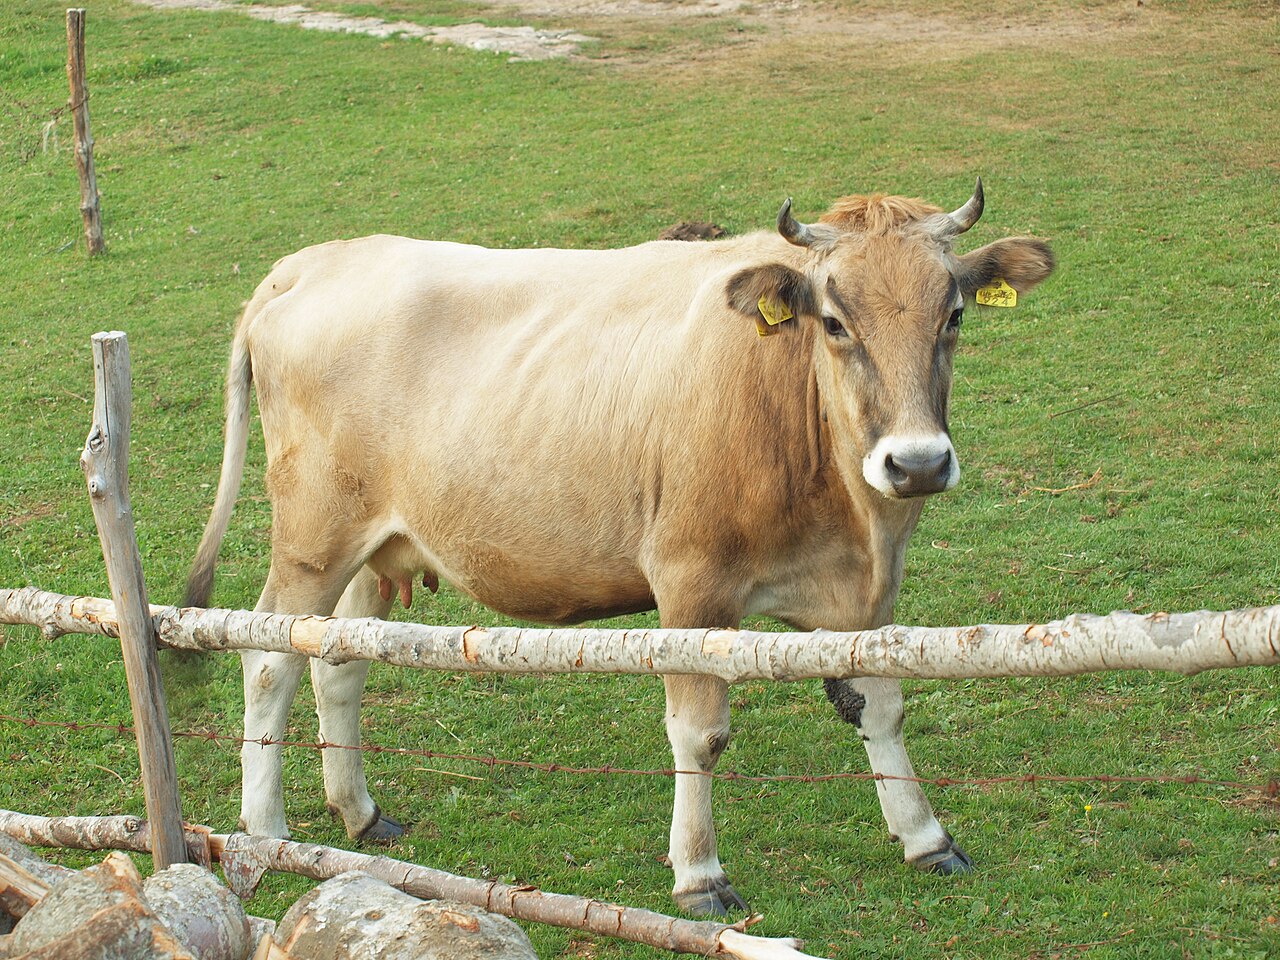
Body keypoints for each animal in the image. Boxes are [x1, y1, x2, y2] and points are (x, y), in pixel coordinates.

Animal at [186, 180, 1054, 916]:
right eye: (835, 322)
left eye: (954, 315)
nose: (917, 463)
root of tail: (312, 262)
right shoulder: (692, 583)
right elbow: (700, 733)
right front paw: (700, 876)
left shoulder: (872, 595)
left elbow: (883, 703)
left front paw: (926, 838)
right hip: (313, 538)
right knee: (268, 660)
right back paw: (265, 831)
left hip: (381, 543)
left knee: (339, 660)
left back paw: (363, 816)